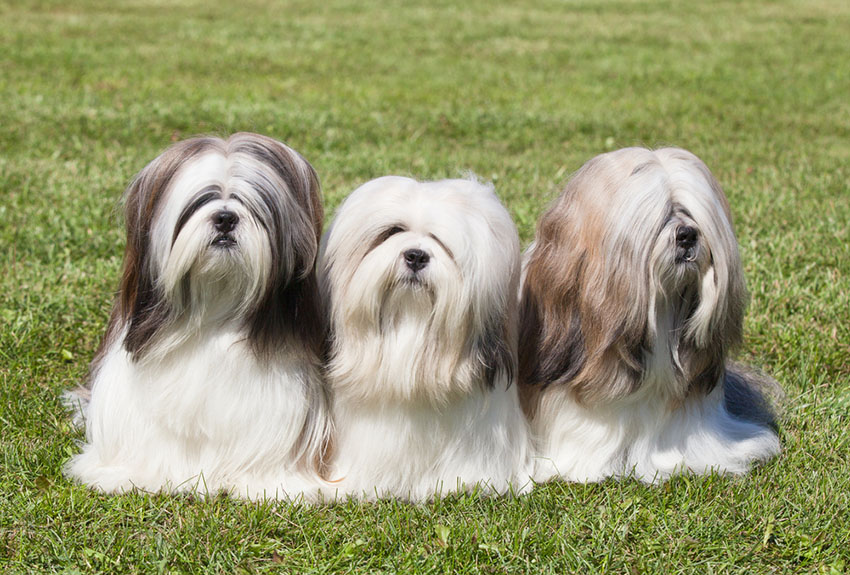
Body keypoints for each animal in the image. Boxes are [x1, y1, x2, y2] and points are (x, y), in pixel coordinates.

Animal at [64, 134, 330, 500]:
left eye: (252, 203)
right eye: (199, 201)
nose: (225, 218)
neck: (214, 309)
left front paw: (267, 482)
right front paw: (131, 474)